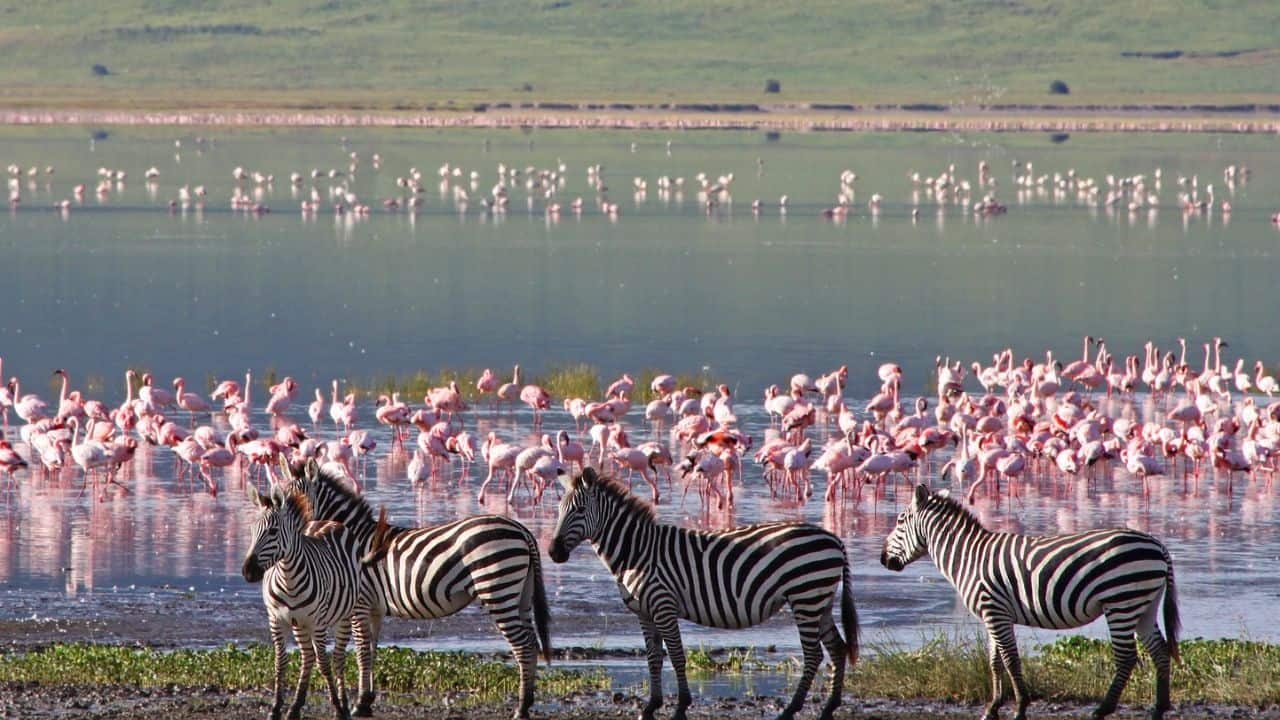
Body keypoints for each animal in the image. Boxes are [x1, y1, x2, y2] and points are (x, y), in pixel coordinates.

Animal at [241, 483, 390, 720]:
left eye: (273, 532)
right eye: (252, 531)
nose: (248, 572)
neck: (288, 578)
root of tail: (327, 521)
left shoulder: (317, 623)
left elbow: (324, 662)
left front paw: (337, 707)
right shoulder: (276, 620)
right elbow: (280, 662)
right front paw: (275, 708)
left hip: (345, 615)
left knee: (336, 657)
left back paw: (344, 705)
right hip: (299, 623)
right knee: (307, 657)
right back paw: (295, 707)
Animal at [282, 459, 551, 720]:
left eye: (298, 500)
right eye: (281, 499)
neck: (350, 541)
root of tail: (522, 530)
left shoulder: (360, 604)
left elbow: (361, 652)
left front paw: (359, 704)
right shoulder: (374, 608)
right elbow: (372, 649)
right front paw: (367, 700)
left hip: (497, 588)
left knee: (522, 644)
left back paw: (520, 708)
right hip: (520, 594)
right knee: (530, 640)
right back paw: (527, 702)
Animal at [549, 467, 859, 720]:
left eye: (578, 510)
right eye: (559, 509)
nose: (553, 552)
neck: (637, 553)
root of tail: (834, 538)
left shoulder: (664, 605)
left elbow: (675, 655)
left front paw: (680, 706)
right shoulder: (644, 612)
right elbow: (653, 657)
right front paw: (651, 706)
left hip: (806, 597)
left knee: (813, 655)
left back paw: (791, 709)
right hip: (819, 600)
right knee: (837, 648)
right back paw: (829, 707)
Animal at [880, 484, 1180, 720]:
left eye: (899, 521)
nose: (883, 560)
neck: (969, 556)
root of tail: (1157, 545)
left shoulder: (995, 611)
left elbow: (1011, 660)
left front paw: (1020, 707)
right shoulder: (993, 615)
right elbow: (994, 661)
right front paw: (993, 708)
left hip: (1120, 602)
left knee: (1127, 657)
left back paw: (1103, 710)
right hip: (1143, 604)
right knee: (1159, 651)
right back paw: (1159, 708)